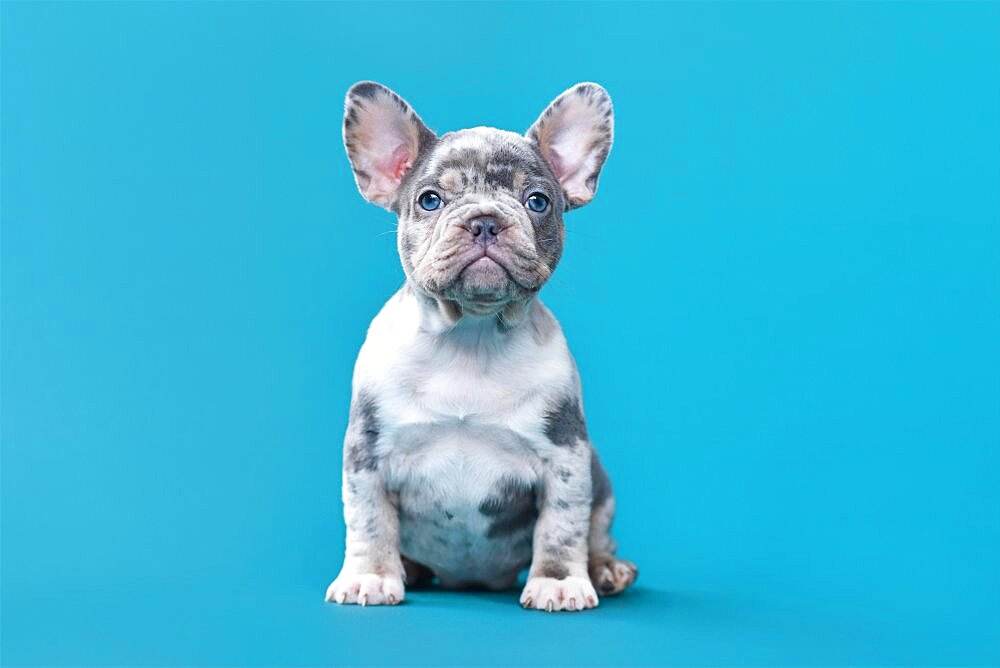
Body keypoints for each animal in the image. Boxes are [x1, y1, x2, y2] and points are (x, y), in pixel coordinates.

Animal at [328, 82, 640, 612]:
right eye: (430, 200)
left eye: (538, 201)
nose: (486, 221)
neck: (469, 338)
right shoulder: (367, 456)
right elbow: (368, 519)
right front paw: (369, 575)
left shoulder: (566, 457)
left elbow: (562, 525)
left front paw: (558, 580)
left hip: (600, 478)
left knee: (596, 531)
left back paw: (604, 569)